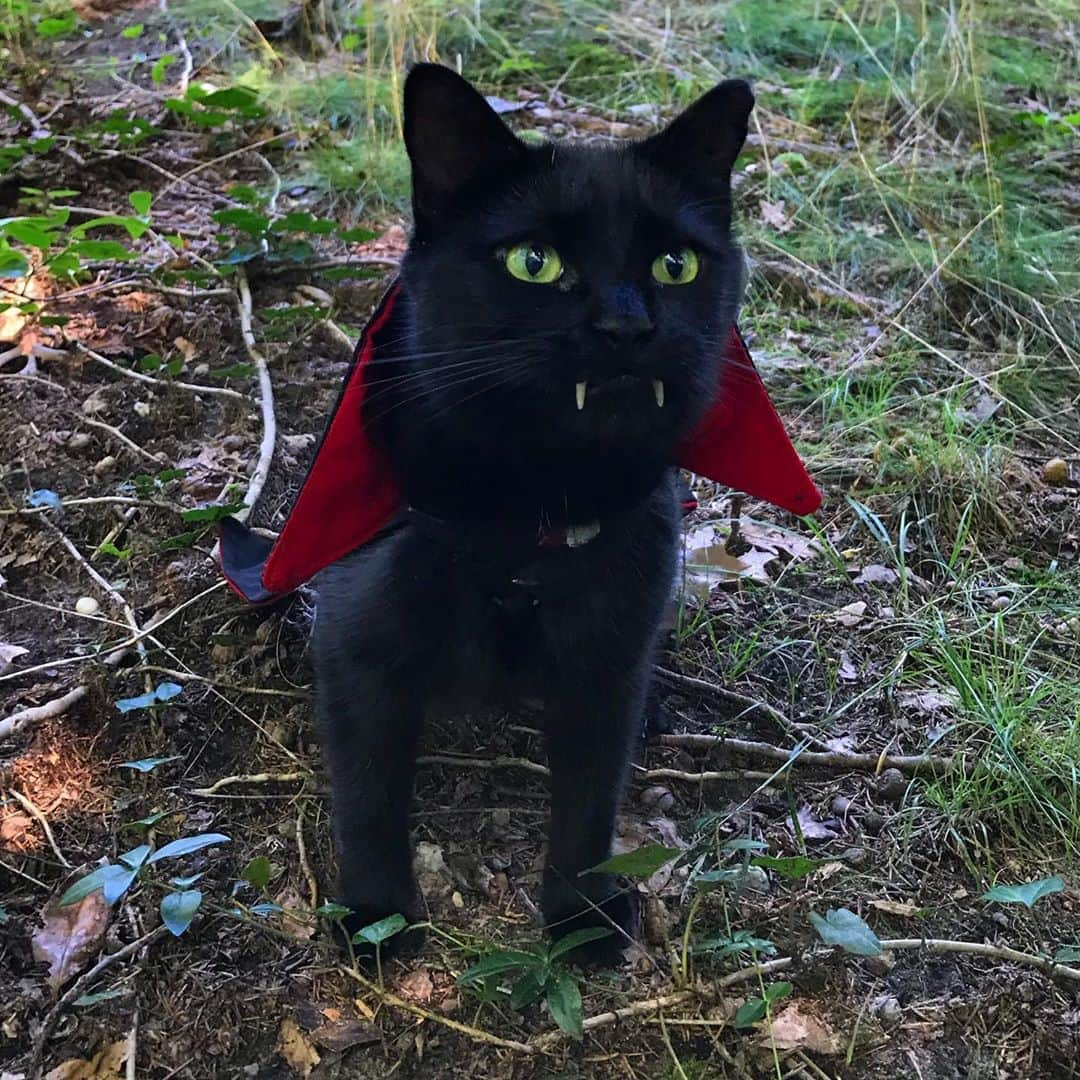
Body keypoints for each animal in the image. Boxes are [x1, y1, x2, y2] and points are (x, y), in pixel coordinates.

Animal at [313, 65, 751, 963]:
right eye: (534, 262)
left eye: (676, 264)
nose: (628, 325)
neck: (531, 519)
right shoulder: (356, 643)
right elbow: (367, 796)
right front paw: (377, 914)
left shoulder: (605, 662)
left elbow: (589, 803)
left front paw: (579, 917)